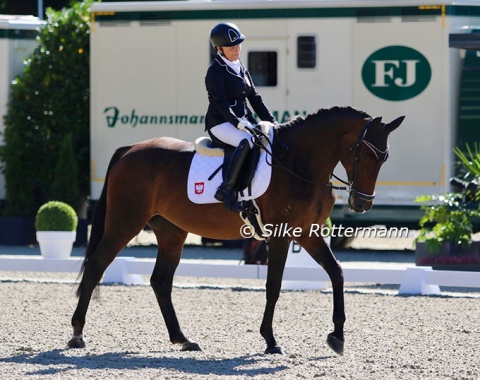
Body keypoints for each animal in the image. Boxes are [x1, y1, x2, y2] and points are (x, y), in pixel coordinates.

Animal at [67, 106, 404, 356]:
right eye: (366, 154)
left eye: (385, 157)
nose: (362, 204)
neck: (300, 163)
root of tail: (129, 150)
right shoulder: (281, 233)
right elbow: (274, 285)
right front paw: (271, 341)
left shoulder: (306, 231)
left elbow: (336, 272)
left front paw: (337, 336)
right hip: (126, 221)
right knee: (97, 265)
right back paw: (78, 334)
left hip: (171, 231)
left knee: (160, 280)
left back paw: (183, 339)